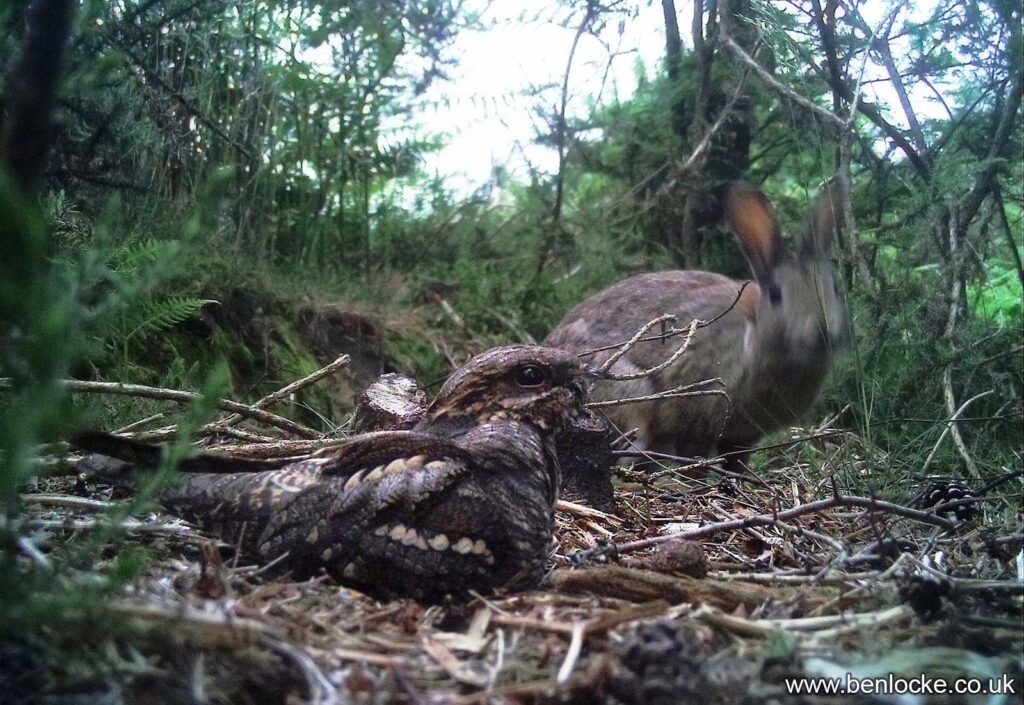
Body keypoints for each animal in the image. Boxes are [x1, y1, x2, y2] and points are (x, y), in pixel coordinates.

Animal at [544, 179, 849, 470]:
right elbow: (696, 461)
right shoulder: (698, 420)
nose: (822, 330)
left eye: (835, 287)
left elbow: (738, 465)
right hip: (631, 399)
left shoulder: (742, 439)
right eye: (775, 294)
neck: (754, 342)